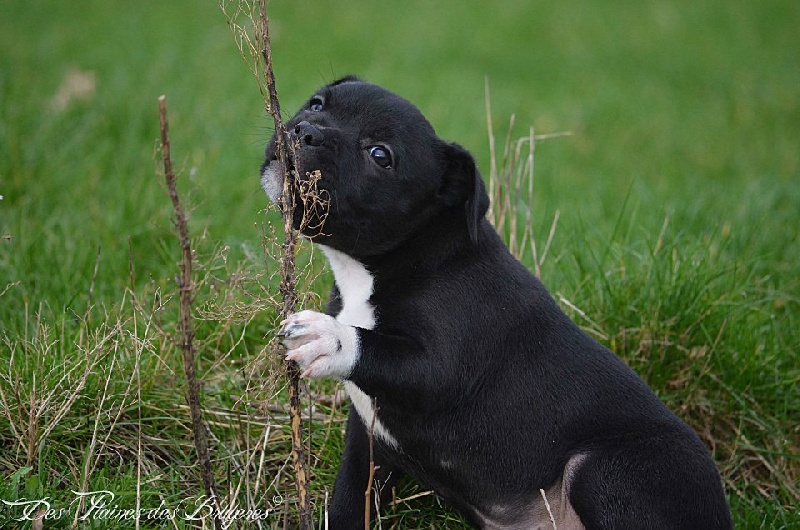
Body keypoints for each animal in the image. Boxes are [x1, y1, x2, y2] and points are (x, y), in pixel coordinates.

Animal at [260, 77, 732, 528]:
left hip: (607, 469)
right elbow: (347, 502)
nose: (304, 131)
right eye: (317, 103)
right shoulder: (367, 443)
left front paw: (328, 337)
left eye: (380, 155)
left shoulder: (445, 366)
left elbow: (379, 347)